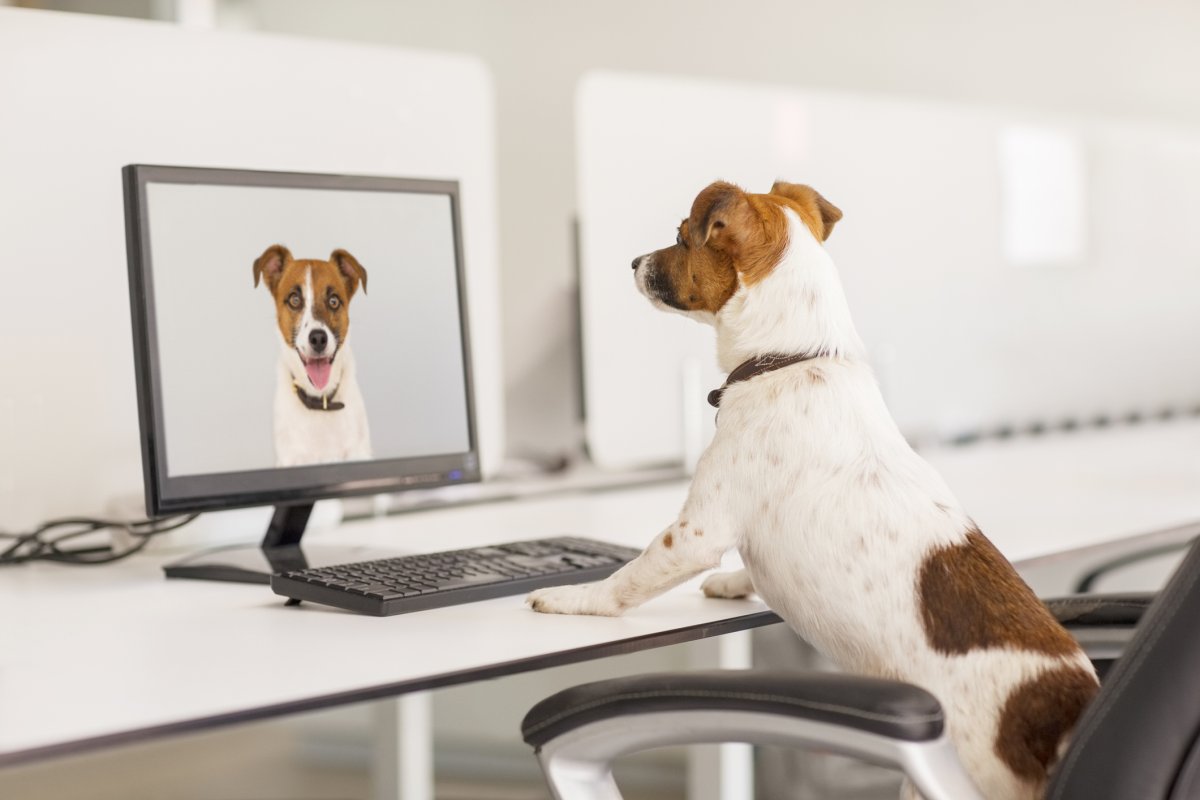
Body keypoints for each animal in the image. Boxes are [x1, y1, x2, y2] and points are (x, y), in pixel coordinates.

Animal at [530, 181, 1099, 800]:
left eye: (681, 236)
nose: (633, 262)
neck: (790, 358)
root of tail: (1059, 714)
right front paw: (733, 582)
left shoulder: (696, 532)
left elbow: (625, 581)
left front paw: (571, 598)